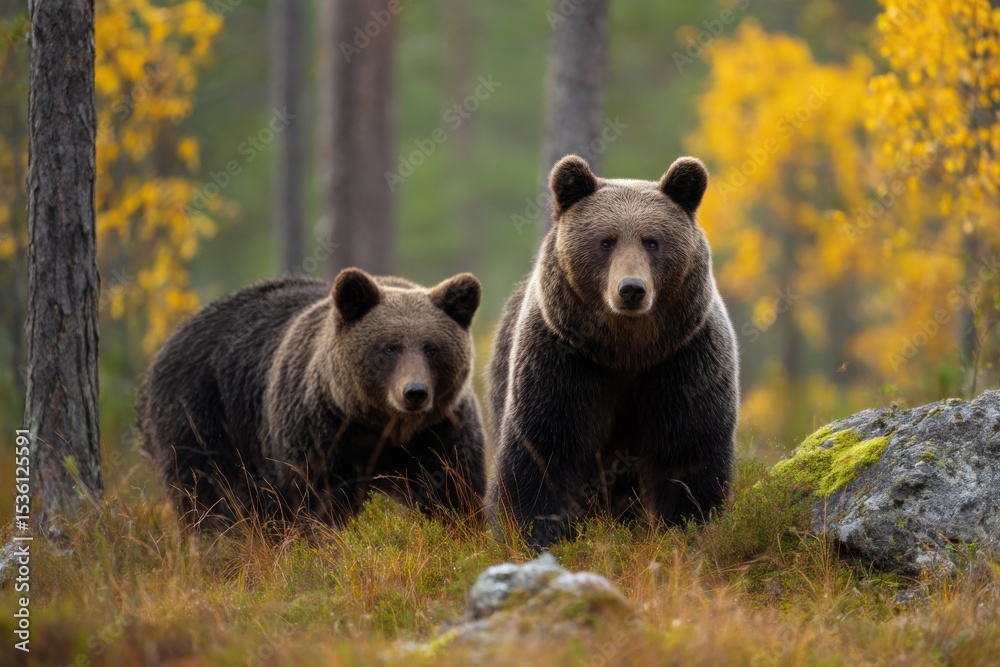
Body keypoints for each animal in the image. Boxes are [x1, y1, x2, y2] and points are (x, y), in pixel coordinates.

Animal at [135, 268, 486, 530]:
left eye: (432, 347)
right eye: (391, 346)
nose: (414, 392)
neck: (380, 426)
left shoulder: (439, 431)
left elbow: (454, 490)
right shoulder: (319, 432)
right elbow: (317, 501)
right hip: (202, 415)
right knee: (208, 498)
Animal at [486, 155, 739, 550]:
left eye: (652, 241)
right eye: (606, 241)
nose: (631, 289)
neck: (624, 349)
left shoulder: (684, 360)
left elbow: (688, 453)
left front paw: (687, 527)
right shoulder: (563, 360)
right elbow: (544, 450)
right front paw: (535, 534)